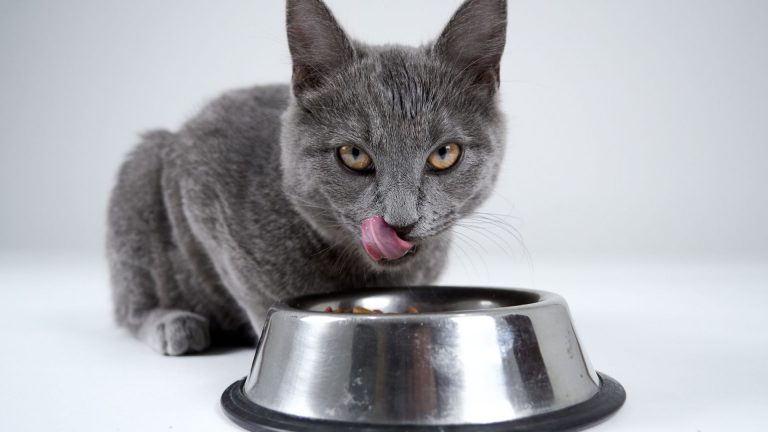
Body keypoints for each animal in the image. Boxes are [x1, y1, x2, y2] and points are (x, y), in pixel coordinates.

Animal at [105, 0, 508, 354]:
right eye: (354, 155)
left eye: (444, 154)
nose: (400, 222)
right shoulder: (200, 177)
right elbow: (253, 293)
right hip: (143, 170)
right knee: (130, 307)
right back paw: (174, 324)